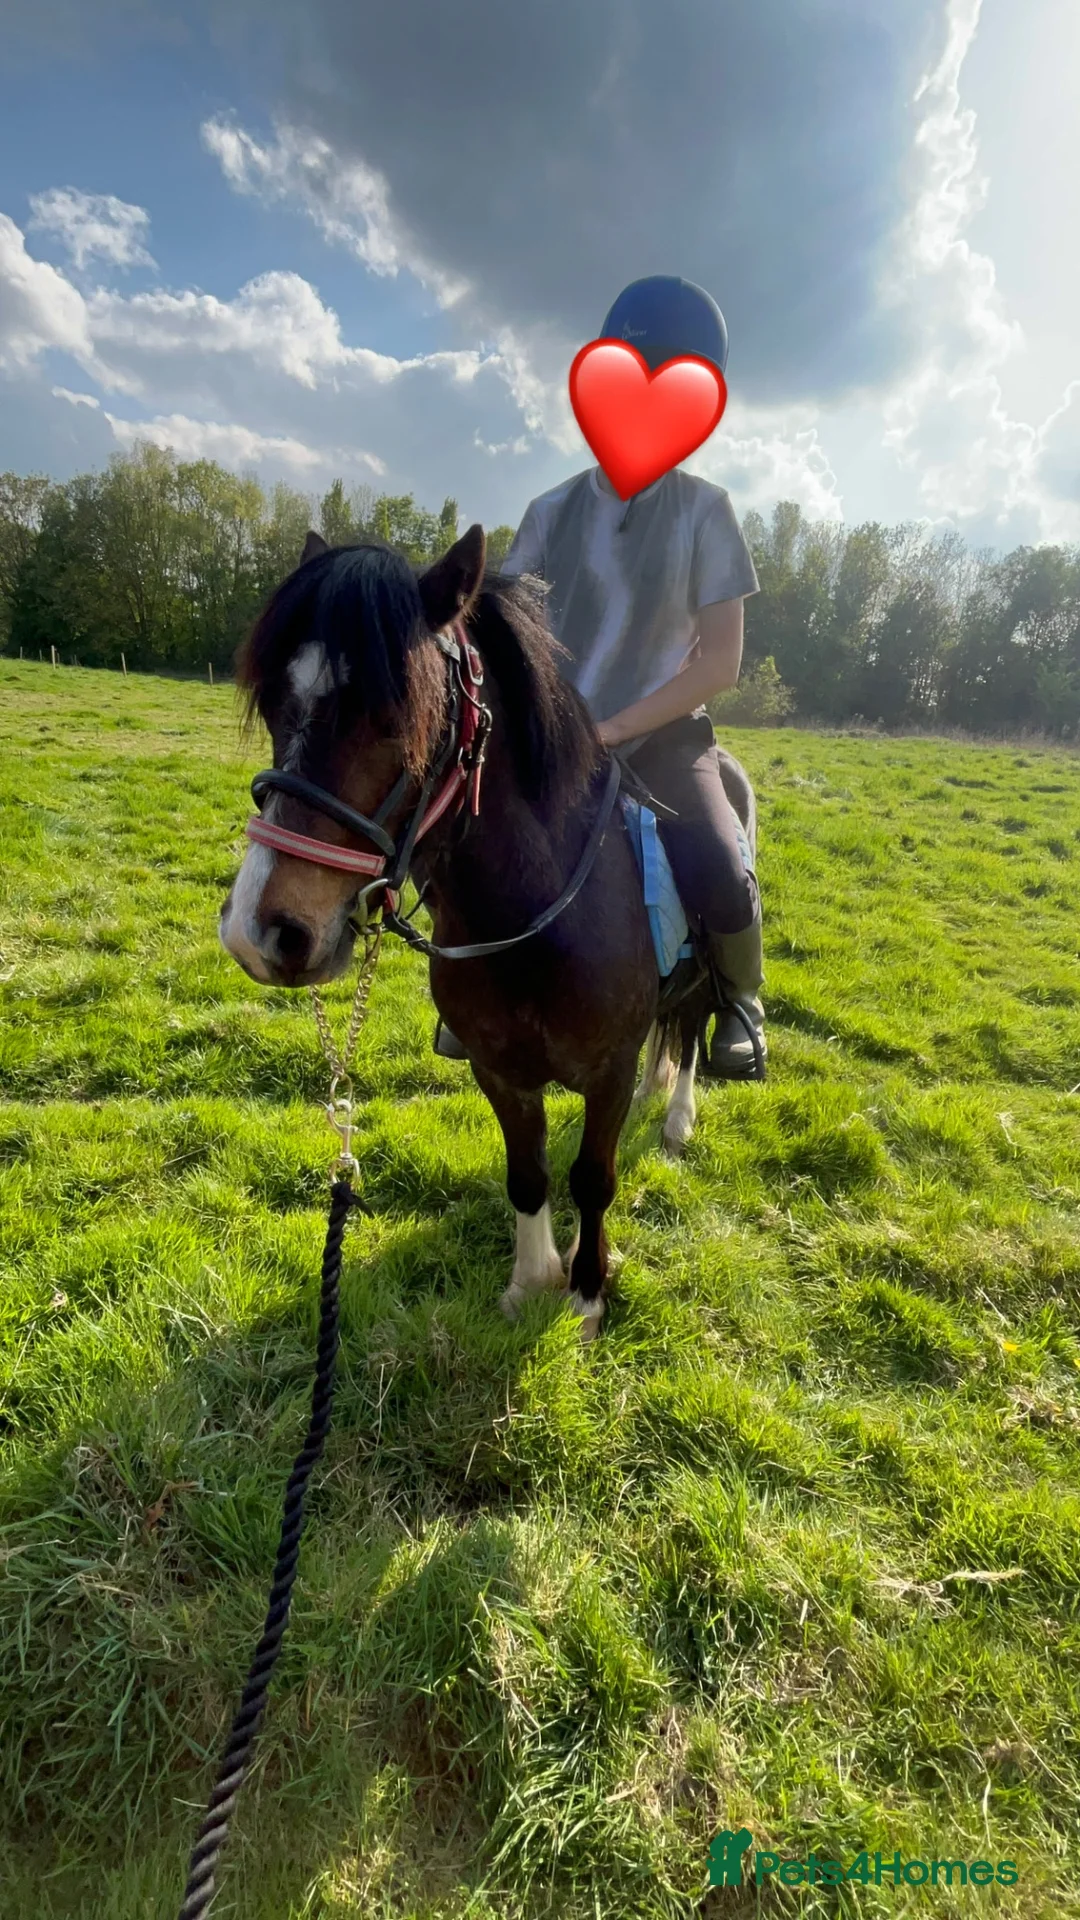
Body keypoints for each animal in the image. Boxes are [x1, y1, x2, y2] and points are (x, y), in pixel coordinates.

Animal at [219, 524, 759, 1340]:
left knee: (694, 1026)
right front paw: (530, 1281)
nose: (262, 931)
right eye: (278, 704)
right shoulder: (497, 1070)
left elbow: (592, 1178)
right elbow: (528, 1174)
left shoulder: (604, 1068)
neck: (533, 921)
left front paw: (585, 1294)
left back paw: (677, 1116)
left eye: (398, 717)